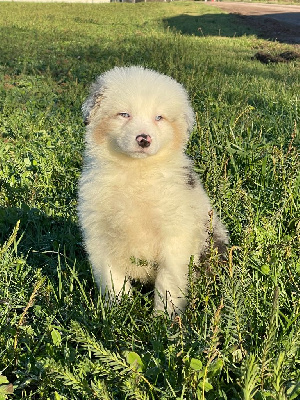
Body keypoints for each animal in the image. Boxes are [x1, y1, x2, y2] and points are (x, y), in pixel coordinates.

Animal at [78, 66, 229, 316]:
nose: (143, 139)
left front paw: (164, 317)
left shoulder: (175, 237)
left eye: (159, 117)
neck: (137, 173)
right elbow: (112, 279)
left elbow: (168, 282)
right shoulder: (99, 235)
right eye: (124, 114)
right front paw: (119, 311)